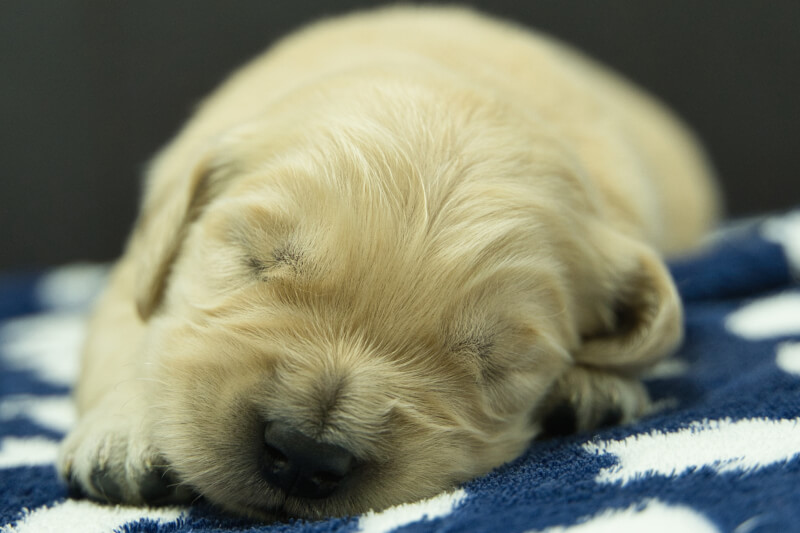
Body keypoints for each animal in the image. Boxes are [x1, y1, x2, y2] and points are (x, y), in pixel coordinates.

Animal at [56, 4, 720, 520]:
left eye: (497, 363)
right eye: (254, 262)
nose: (305, 455)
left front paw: (592, 383)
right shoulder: (139, 259)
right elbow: (128, 325)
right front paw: (123, 432)